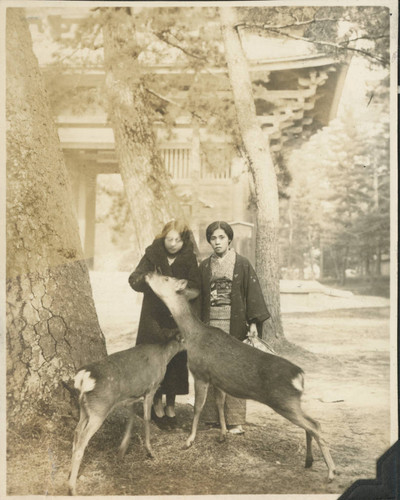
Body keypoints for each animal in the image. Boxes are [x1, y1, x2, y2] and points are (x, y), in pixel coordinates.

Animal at [68, 334, 184, 494]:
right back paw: (72, 488)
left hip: (85, 408)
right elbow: (147, 419)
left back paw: (69, 476)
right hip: (99, 408)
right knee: (82, 440)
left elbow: (131, 419)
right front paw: (150, 452)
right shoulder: (151, 388)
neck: (164, 355)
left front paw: (121, 452)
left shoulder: (131, 397)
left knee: (77, 431)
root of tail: (82, 379)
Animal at [145, 272, 336, 482]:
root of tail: (300, 376)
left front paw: (189, 441)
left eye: (166, 278)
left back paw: (331, 472)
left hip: (283, 401)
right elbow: (220, 404)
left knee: (314, 426)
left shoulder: (200, 372)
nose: (149, 273)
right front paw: (222, 435)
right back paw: (309, 461)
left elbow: (198, 407)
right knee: (314, 423)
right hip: (292, 401)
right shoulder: (218, 380)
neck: (193, 337)